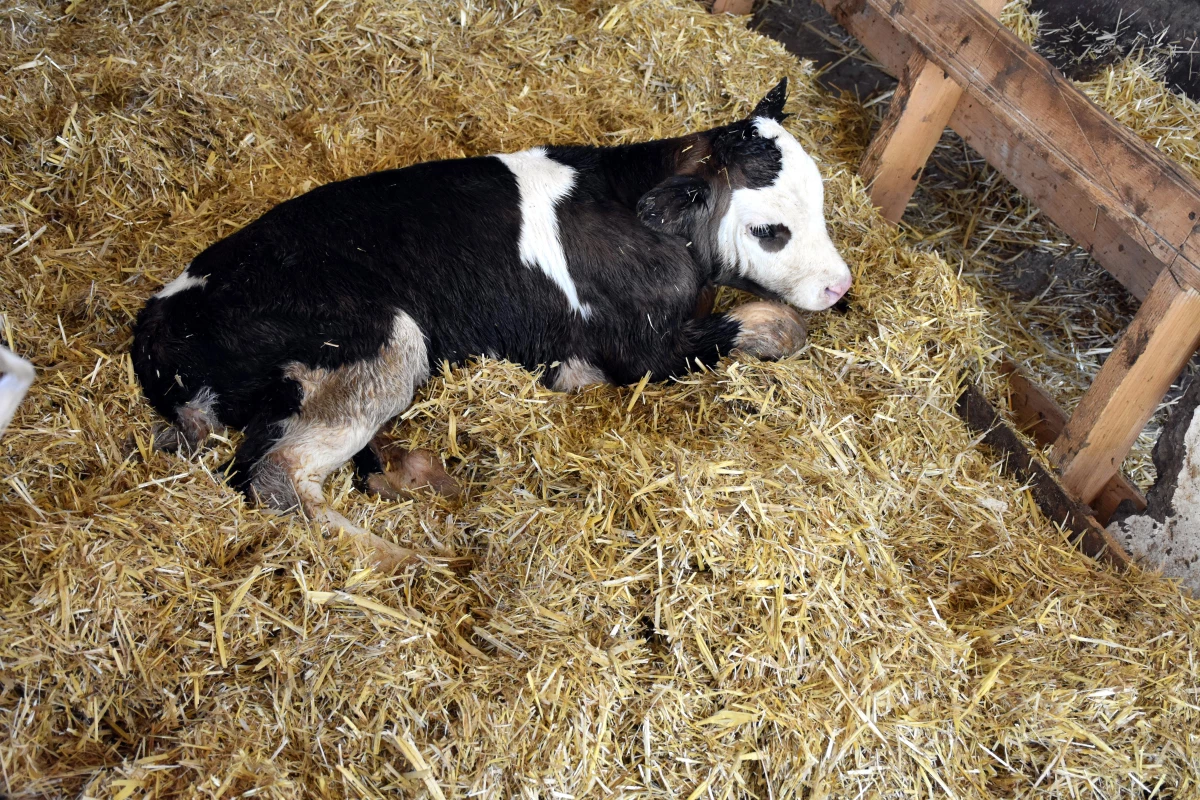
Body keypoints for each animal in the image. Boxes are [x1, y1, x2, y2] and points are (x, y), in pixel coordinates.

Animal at [133, 77, 854, 566]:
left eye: (822, 199)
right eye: (770, 230)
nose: (840, 284)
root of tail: (157, 325)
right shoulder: (643, 351)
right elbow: (771, 322)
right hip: (380, 342)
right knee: (275, 474)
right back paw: (403, 563)